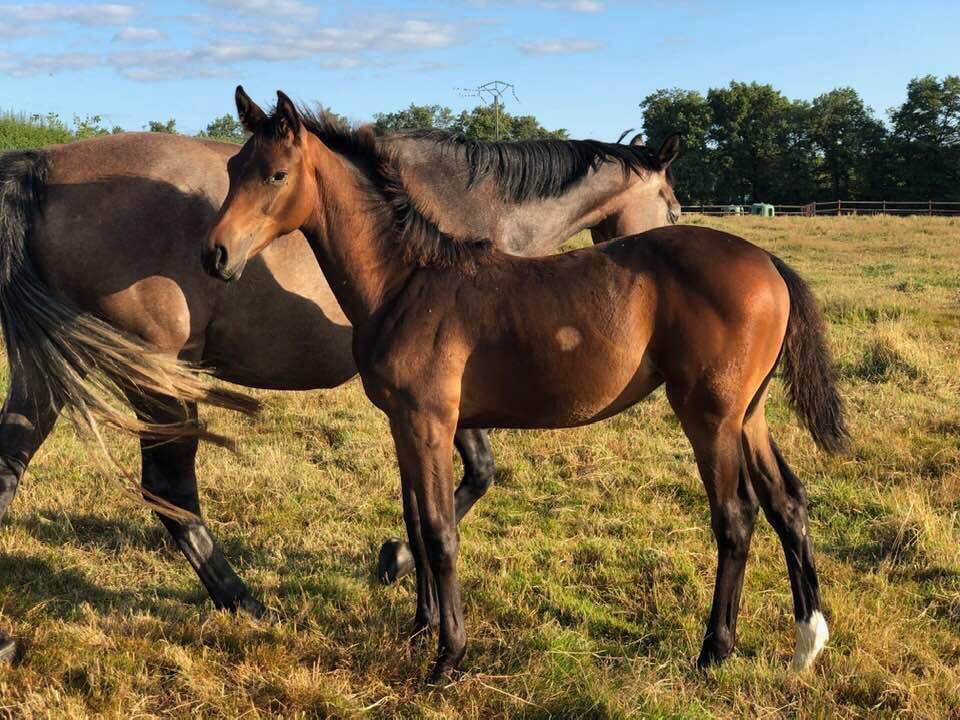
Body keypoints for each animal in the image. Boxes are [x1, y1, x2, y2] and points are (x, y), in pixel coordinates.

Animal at [204, 93, 848, 684]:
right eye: (235, 167)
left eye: (276, 173)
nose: (217, 255)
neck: (406, 280)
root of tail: (767, 259)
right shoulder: (404, 423)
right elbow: (416, 518)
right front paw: (419, 624)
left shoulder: (430, 421)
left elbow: (439, 531)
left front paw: (448, 657)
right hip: (748, 414)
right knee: (787, 501)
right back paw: (807, 643)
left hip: (709, 417)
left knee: (735, 517)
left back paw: (714, 652)